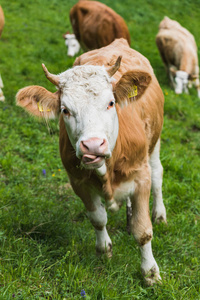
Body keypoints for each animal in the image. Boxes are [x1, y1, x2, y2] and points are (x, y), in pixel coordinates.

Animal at [15, 38, 166, 284]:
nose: (93, 145)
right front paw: (104, 251)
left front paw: (150, 273)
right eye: (65, 110)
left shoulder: (141, 175)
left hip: (155, 143)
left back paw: (160, 214)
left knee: (158, 174)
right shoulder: (78, 181)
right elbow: (97, 218)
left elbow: (143, 231)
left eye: (111, 102)